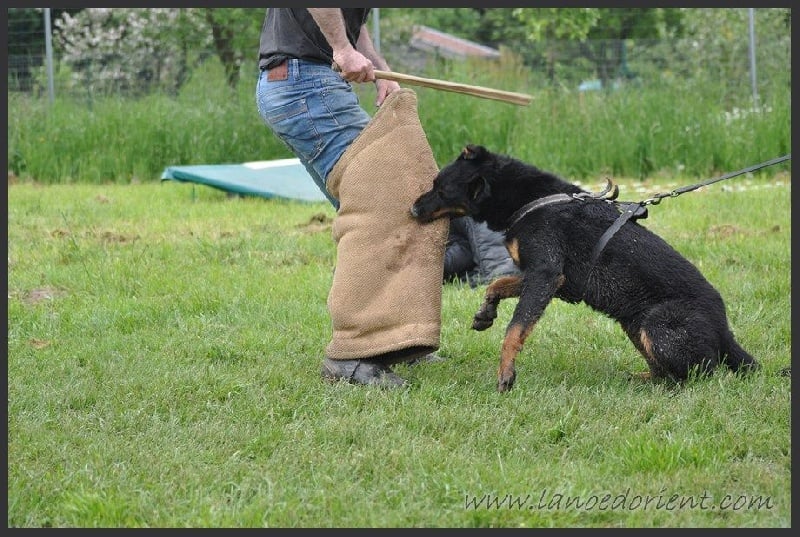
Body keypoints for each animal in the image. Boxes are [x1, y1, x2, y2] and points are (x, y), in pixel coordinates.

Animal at [412, 144, 756, 392]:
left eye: (441, 190)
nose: (412, 209)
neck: (526, 198)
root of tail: (725, 331)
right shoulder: (551, 279)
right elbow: (496, 286)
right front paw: (485, 314)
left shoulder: (546, 273)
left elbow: (514, 329)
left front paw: (506, 373)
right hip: (634, 325)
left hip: (657, 325)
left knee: (702, 373)